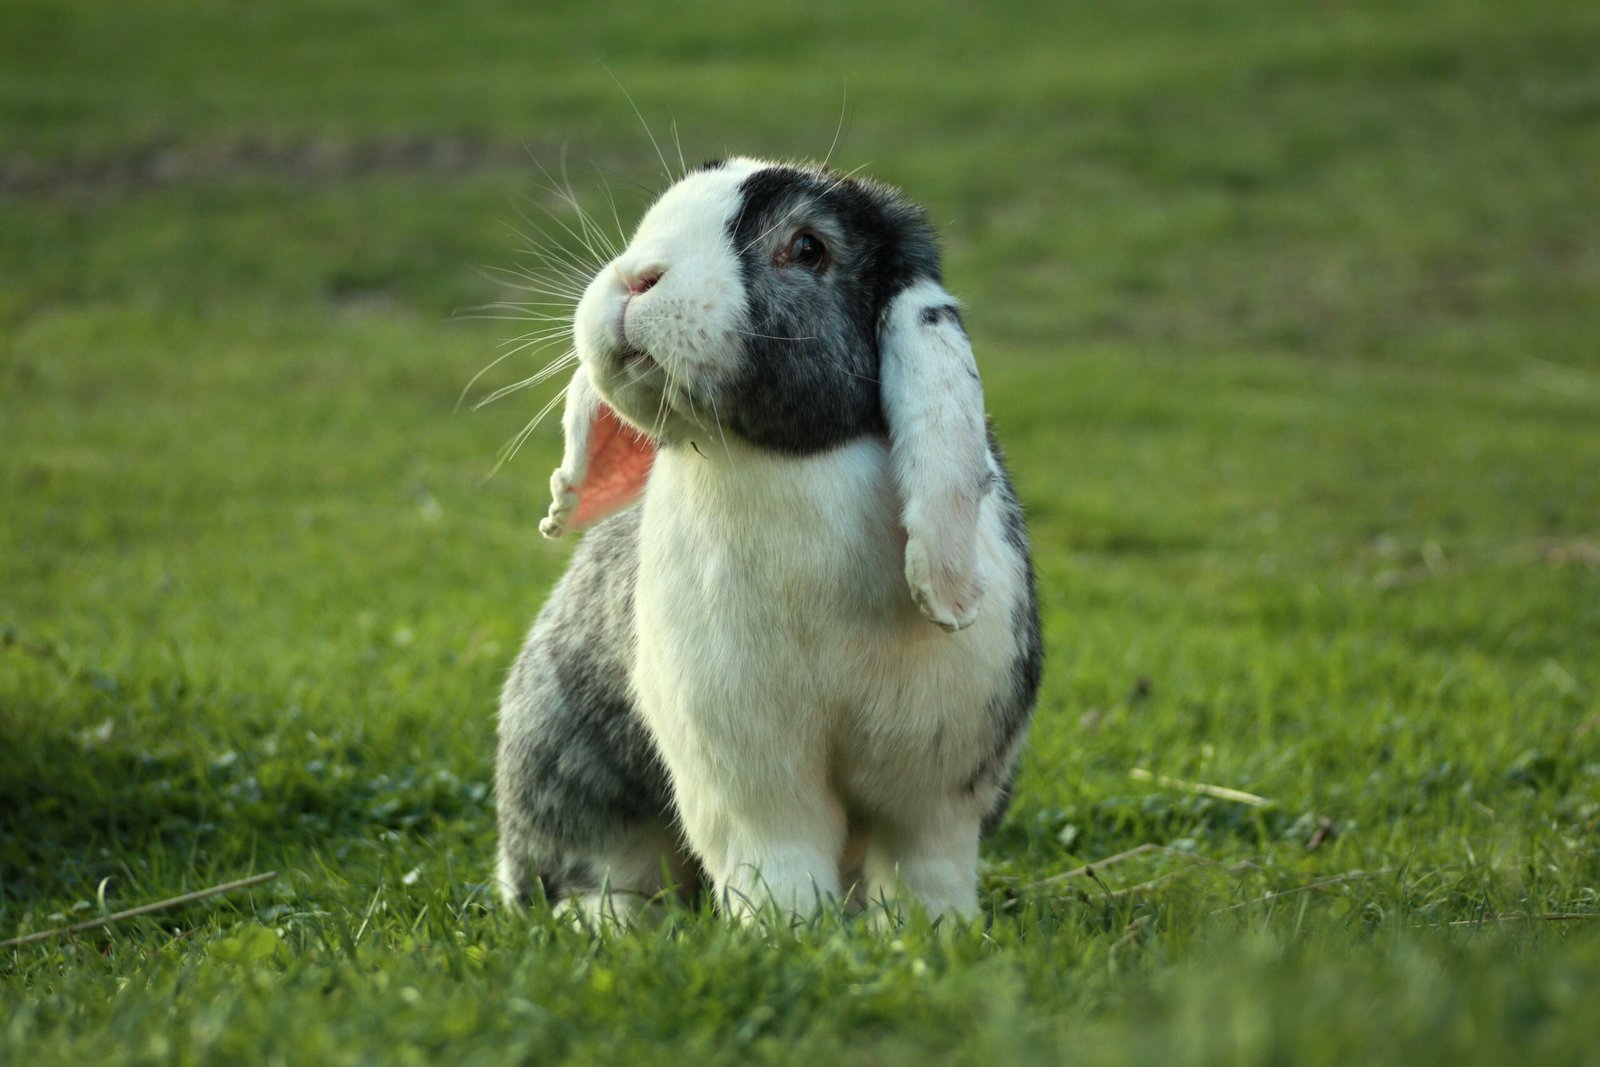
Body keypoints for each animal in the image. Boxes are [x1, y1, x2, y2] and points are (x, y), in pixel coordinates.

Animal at [494, 157, 1041, 922]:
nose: (636, 278)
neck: (784, 460)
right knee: (593, 873)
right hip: (565, 770)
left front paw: (932, 937)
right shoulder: (745, 766)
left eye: (807, 248)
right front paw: (787, 932)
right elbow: (777, 859)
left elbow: (925, 868)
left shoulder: (938, 780)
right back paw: (611, 926)